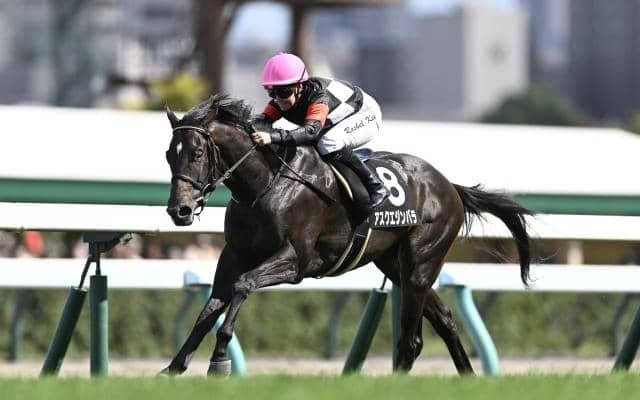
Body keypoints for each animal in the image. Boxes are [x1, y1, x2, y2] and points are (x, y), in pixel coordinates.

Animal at [161, 94, 533, 376]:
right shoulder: (234, 255)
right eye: (168, 155)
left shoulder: (295, 261)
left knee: (411, 339)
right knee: (443, 323)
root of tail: (449, 186)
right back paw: (467, 377)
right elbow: (209, 308)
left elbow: (243, 286)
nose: (179, 211)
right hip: (396, 266)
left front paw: (220, 358)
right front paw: (174, 367)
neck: (265, 184)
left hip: (420, 264)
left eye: (196, 153)